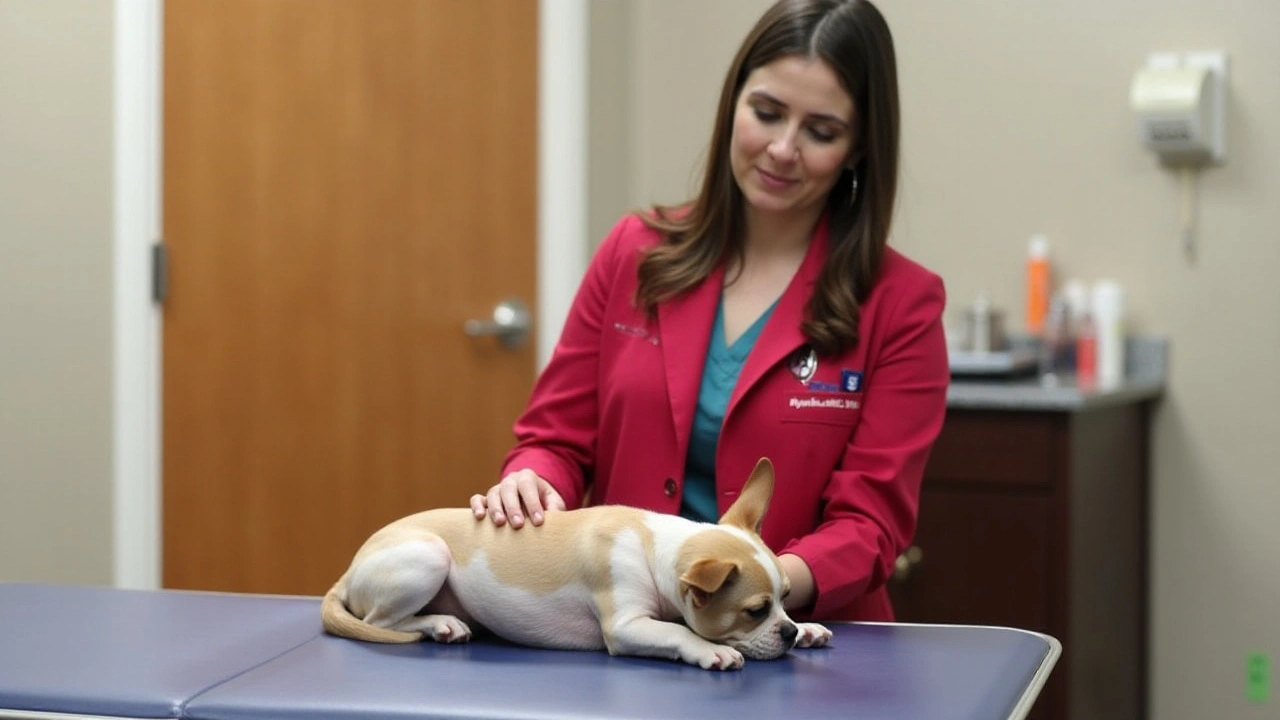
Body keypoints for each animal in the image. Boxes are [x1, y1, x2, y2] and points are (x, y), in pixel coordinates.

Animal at [322, 456, 829, 671]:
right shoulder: (627, 626)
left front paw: (806, 628)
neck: (655, 544)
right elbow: (678, 632)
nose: (786, 632)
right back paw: (440, 623)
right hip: (429, 556)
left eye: (785, 599)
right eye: (754, 611)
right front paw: (710, 649)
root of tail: (350, 570)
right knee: (381, 620)